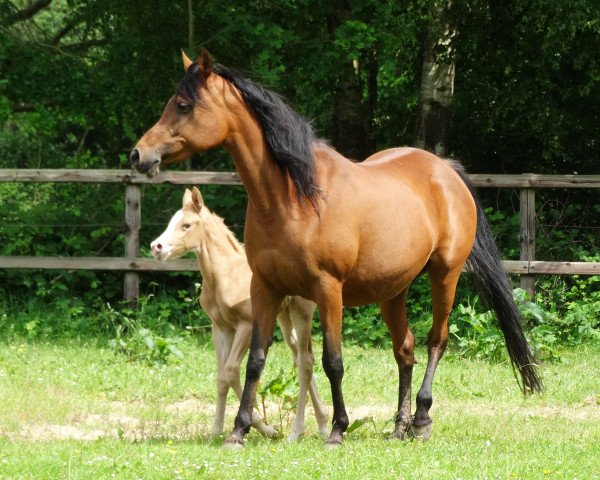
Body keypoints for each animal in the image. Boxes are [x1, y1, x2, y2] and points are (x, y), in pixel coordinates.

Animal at [150, 186, 328, 440]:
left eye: (187, 225)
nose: (157, 247)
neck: (226, 275)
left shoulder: (245, 325)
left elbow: (231, 370)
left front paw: (264, 428)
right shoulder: (220, 328)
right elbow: (221, 377)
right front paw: (216, 430)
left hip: (301, 311)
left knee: (306, 360)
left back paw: (301, 430)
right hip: (283, 318)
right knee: (299, 357)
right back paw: (323, 424)